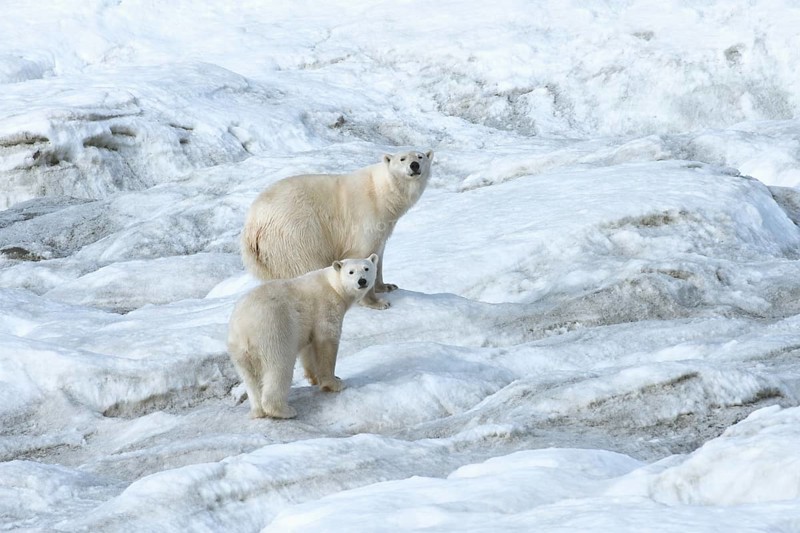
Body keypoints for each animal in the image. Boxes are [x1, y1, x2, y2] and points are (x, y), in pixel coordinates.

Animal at [227, 254, 378, 419]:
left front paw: (315, 378)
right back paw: (284, 410)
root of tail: (243, 329)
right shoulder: (325, 306)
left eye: (366, 268)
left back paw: (257, 410)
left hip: (238, 351)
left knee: (250, 378)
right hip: (273, 332)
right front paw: (335, 383)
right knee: (279, 367)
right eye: (351, 272)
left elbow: (308, 348)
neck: (333, 286)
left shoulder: (307, 325)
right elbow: (326, 341)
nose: (362, 281)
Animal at [240, 149, 434, 310]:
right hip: (297, 235)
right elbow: (362, 254)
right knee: (306, 265)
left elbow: (378, 254)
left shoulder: (384, 224)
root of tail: (252, 225)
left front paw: (387, 286)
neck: (381, 193)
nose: (414, 165)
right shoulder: (365, 216)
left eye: (420, 156)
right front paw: (376, 302)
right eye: (402, 158)